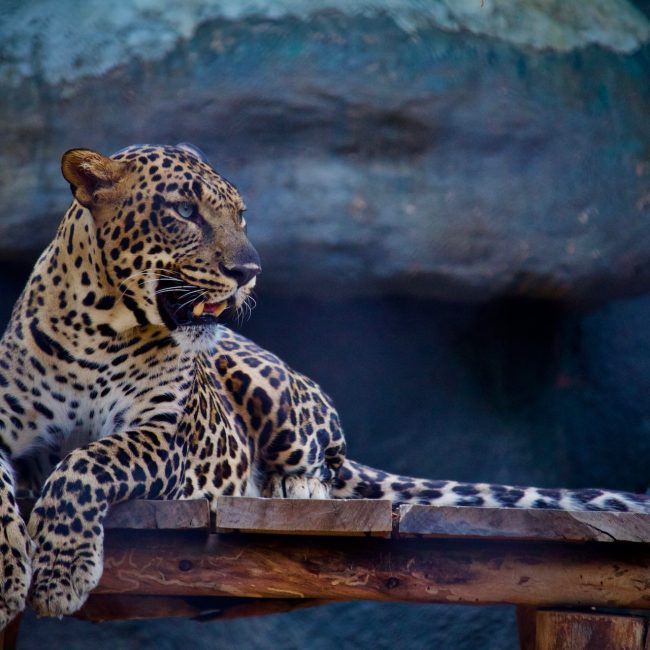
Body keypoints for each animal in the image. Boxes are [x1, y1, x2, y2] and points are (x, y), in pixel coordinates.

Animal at [1, 143, 649, 629]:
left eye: (241, 216)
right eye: (184, 211)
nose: (249, 271)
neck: (100, 327)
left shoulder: (163, 436)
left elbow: (86, 463)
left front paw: (59, 576)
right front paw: (12, 579)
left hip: (273, 388)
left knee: (324, 459)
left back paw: (293, 488)